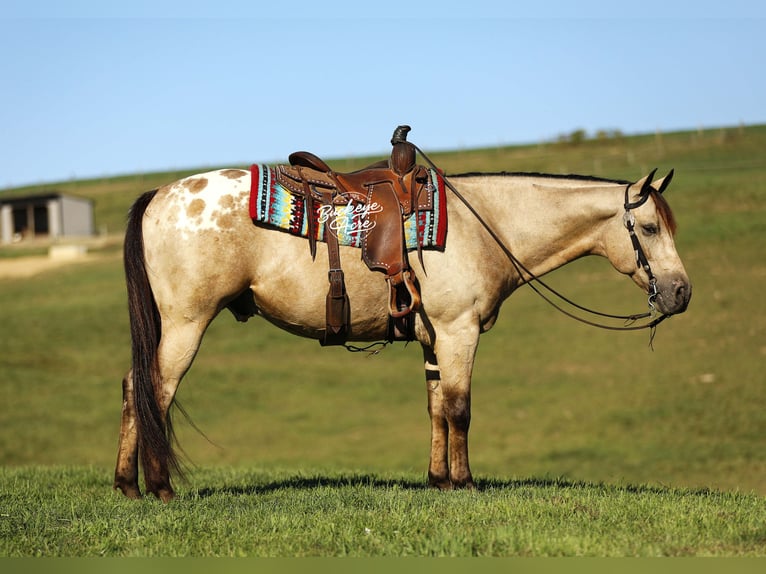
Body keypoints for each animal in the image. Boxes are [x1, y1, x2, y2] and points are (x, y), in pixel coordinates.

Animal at [113, 165, 691, 501]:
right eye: (649, 228)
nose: (681, 293)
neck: (481, 226)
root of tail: (159, 193)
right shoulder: (460, 332)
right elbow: (460, 408)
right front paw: (465, 484)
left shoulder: (436, 340)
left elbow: (436, 407)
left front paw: (437, 482)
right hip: (186, 323)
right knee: (155, 391)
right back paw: (160, 488)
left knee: (133, 389)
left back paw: (127, 486)